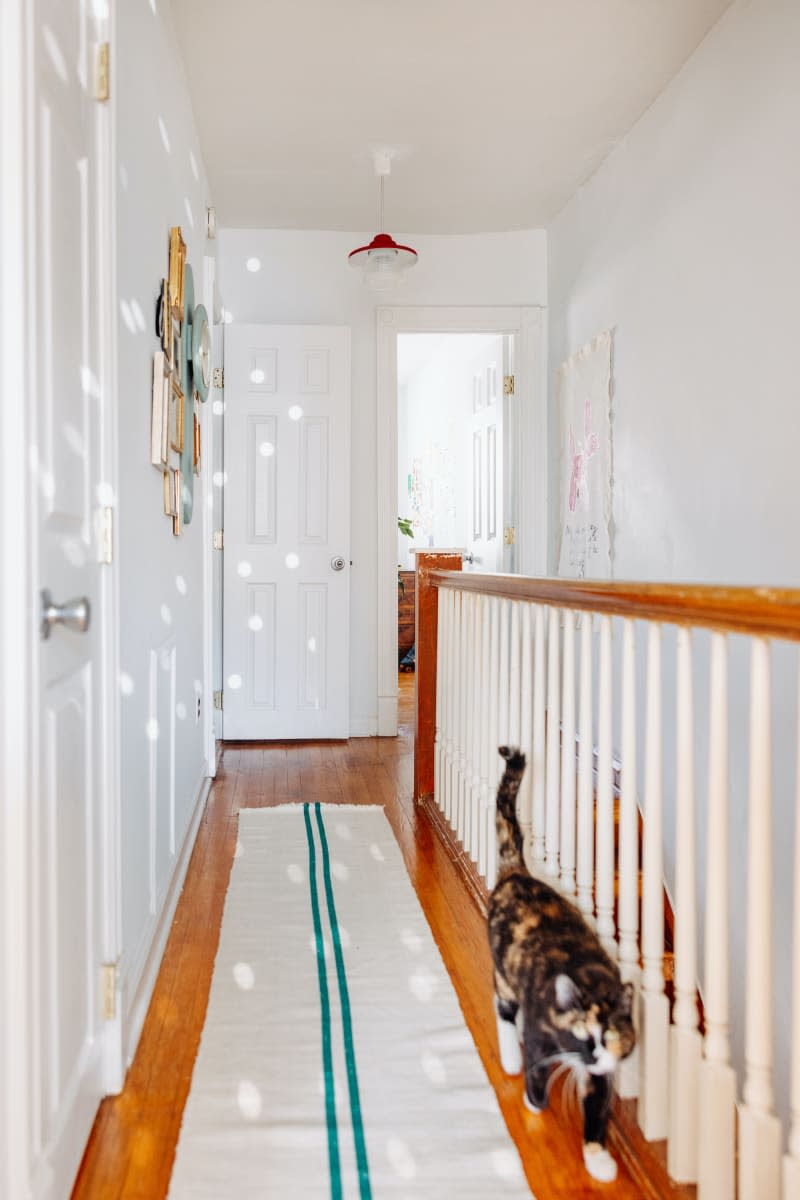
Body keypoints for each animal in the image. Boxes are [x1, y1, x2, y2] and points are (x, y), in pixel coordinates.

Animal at [491, 744, 633, 1185]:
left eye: (610, 1038)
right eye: (580, 1036)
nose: (592, 1057)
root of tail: (517, 872)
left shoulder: (606, 1071)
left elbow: (598, 1109)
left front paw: (598, 1159)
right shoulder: (540, 1033)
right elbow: (538, 1069)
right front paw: (535, 1102)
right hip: (504, 976)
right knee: (502, 1007)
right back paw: (509, 1056)